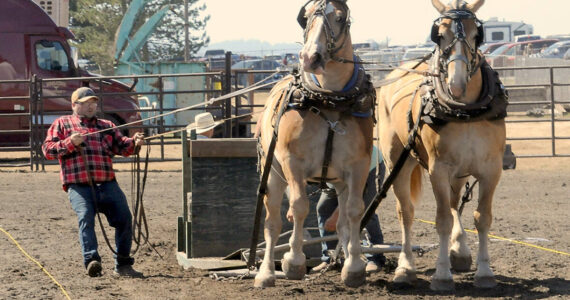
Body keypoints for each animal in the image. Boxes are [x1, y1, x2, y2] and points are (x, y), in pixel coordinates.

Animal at [252, 0, 372, 288]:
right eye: (305, 18)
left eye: (339, 17)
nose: (310, 58)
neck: (329, 100)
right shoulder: (292, 162)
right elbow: (299, 206)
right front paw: (293, 261)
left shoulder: (359, 165)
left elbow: (354, 211)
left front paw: (354, 266)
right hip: (273, 174)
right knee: (272, 222)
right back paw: (265, 273)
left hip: (338, 181)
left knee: (341, 223)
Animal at [378, 0, 506, 290]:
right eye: (440, 35)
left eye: (476, 35)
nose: (456, 84)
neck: (465, 111)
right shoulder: (438, 170)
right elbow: (443, 220)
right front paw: (442, 275)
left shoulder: (491, 169)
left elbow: (482, 217)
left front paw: (484, 272)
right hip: (398, 162)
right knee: (406, 212)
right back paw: (405, 267)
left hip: (460, 171)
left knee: (455, 201)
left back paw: (460, 251)